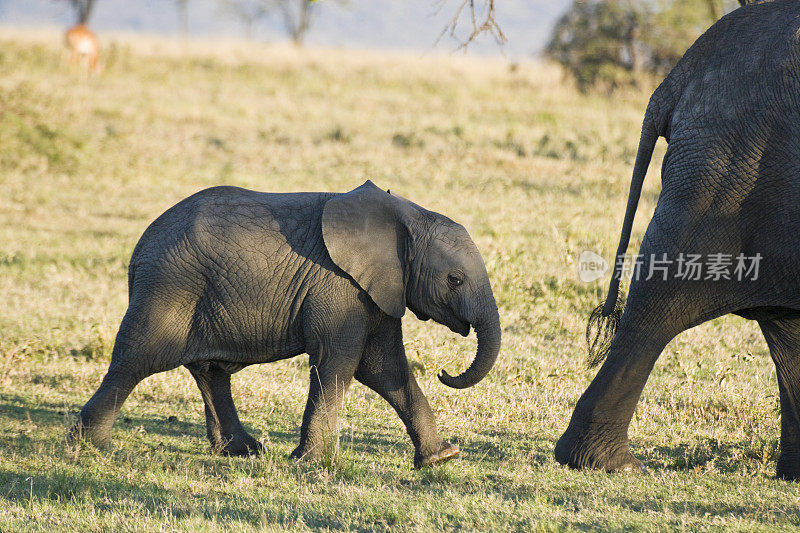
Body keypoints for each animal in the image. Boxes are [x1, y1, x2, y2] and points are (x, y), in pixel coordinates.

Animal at [75, 181, 500, 468]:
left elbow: (385, 367)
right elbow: (338, 362)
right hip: (168, 288)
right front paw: (307, 464)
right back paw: (89, 446)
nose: (445, 371)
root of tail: (139, 249)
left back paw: (244, 452)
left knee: (210, 372)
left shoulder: (377, 289)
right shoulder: (338, 285)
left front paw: (440, 458)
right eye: (455, 280)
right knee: (135, 362)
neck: (405, 215)